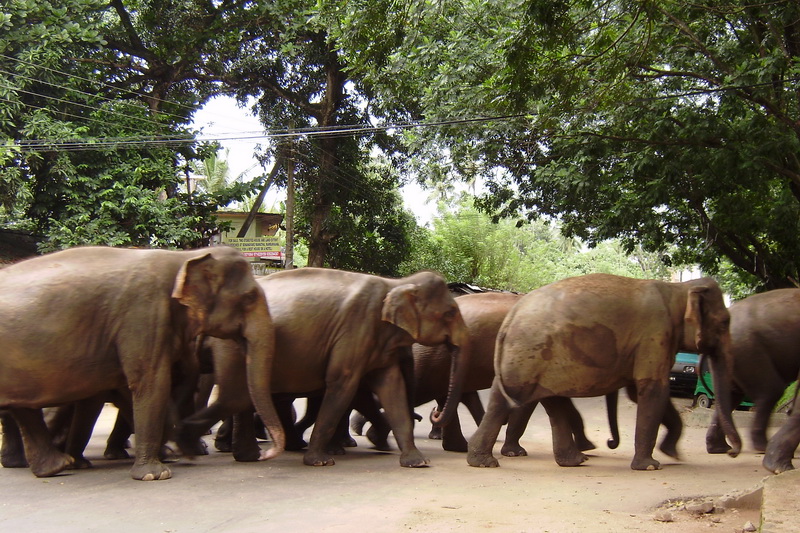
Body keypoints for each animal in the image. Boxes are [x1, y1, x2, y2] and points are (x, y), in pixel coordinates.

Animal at [0, 247, 286, 480]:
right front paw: (156, 473)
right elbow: (151, 383)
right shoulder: (143, 316)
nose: (267, 454)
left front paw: (177, 448)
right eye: (249, 297)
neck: (185, 257)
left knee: (24, 406)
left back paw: (57, 466)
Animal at [178, 266, 472, 466]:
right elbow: (343, 386)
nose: (434, 413)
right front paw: (320, 460)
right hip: (232, 345)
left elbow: (391, 388)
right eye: (450, 313)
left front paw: (416, 461)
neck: (396, 283)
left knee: (241, 396)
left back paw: (241, 453)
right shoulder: (354, 331)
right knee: (236, 395)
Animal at [466, 274, 740, 470]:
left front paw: (672, 453)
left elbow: (642, 393)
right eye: (724, 322)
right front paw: (652, 466)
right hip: (529, 354)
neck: (679, 289)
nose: (731, 452)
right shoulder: (655, 335)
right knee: (518, 400)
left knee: (534, 400)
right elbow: (653, 389)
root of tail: (510, 319)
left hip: (534, 359)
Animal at [708, 288, 800, 456]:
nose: (733, 453)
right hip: (748, 350)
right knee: (770, 391)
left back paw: (720, 449)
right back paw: (761, 448)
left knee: (731, 395)